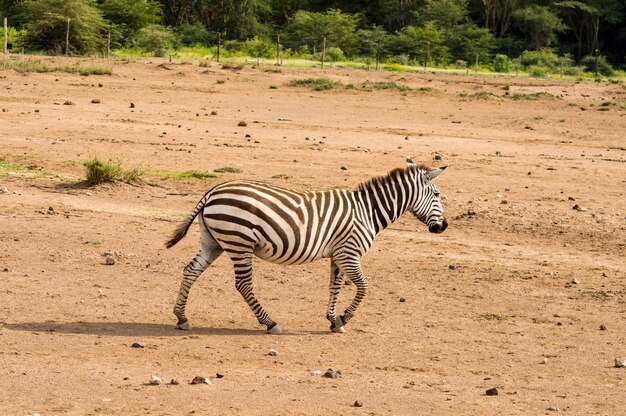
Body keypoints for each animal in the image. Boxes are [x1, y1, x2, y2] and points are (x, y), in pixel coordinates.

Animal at [166, 157, 446, 334]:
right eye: (437, 195)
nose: (443, 227)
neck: (369, 210)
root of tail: (211, 192)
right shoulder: (349, 253)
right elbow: (364, 287)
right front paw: (345, 317)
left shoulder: (338, 255)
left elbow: (334, 287)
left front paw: (333, 320)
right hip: (239, 242)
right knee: (243, 284)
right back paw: (270, 323)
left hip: (214, 241)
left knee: (190, 271)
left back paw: (182, 317)